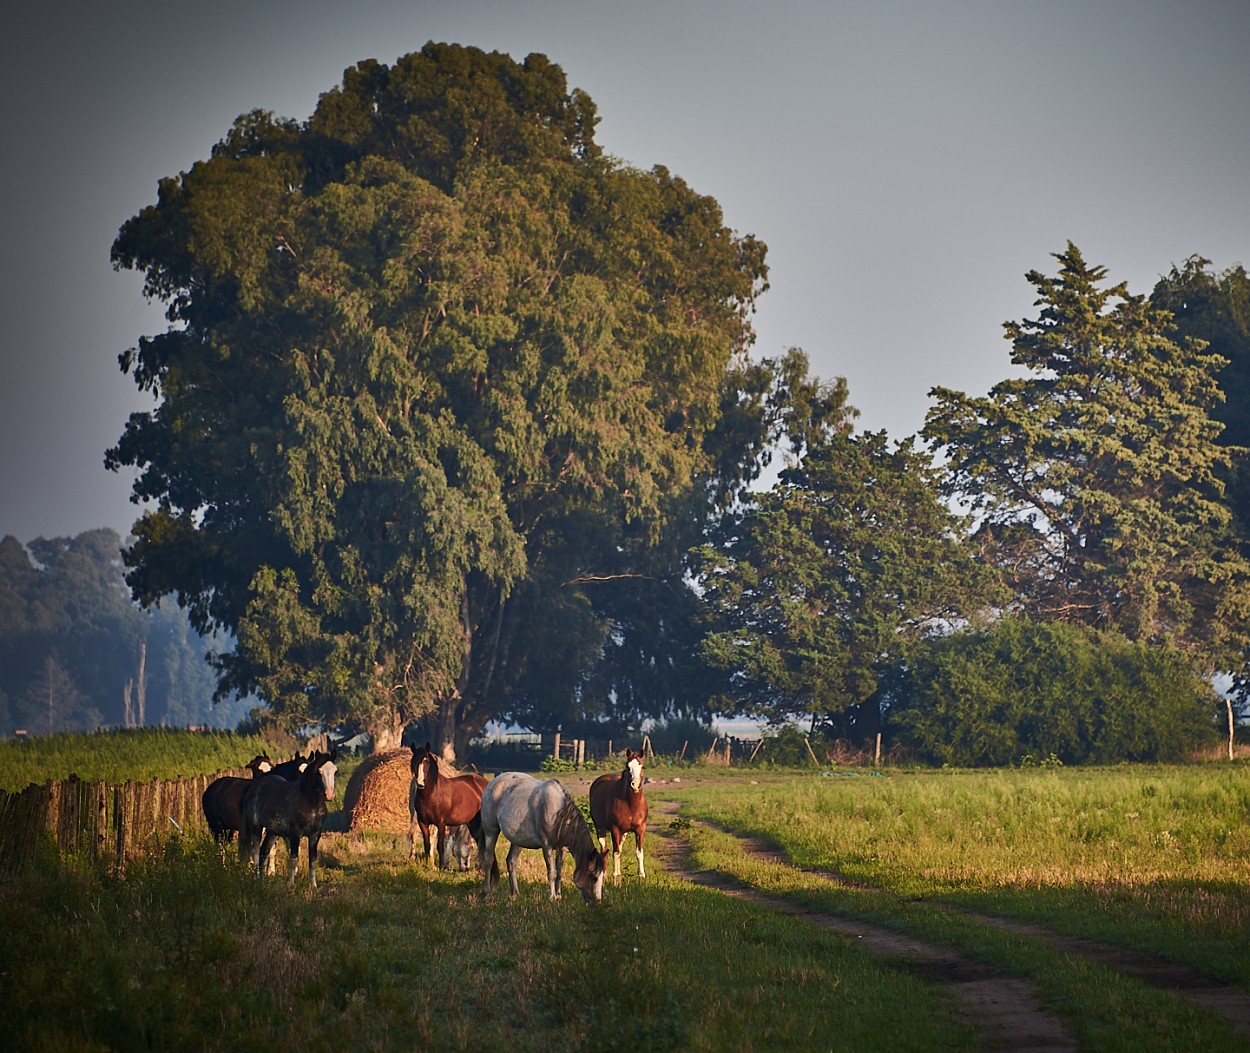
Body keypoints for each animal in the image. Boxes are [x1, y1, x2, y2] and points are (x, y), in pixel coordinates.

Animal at [477, 765, 605, 900]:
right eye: (594, 877)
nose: (597, 901)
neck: (559, 813)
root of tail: (492, 782)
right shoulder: (546, 846)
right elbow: (552, 872)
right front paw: (552, 897)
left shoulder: (563, 848)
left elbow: (559, 871)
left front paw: (558, 895)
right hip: (491, 832)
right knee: (488, 860)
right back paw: (486, 892)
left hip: (518, 841)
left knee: (511, 861)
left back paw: (515, 893)